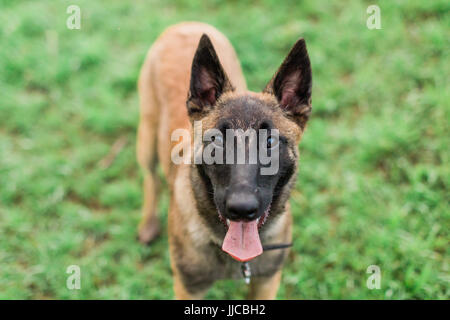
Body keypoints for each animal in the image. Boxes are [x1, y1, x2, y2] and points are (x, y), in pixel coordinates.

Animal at [137, 22, 312, 300]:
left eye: (270, 141)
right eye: (218, 140)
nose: (241, 209)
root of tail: (187, 25)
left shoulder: (266, 283)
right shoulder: (189, 288)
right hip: (147, 140)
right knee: (151, 179)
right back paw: (148, 223)